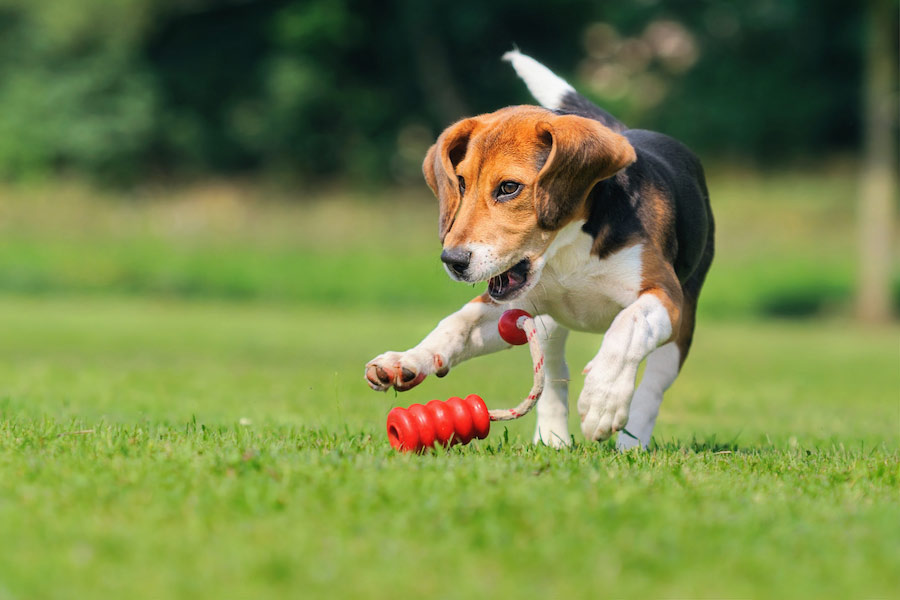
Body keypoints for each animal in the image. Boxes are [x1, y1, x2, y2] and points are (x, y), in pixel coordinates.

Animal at [362, 51, 712, 448]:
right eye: (461, 183)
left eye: (509, 187)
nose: (453, 261)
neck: (566, 250)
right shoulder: (511, 305)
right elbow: (457, 324)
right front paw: (408, 359)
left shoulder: (664, 294)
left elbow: (629, 325)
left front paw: (602, 398)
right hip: (545, 322)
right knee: (553, 373)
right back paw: (552, 439)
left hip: (681, 327)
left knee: (650, 388)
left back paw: (630, 443)